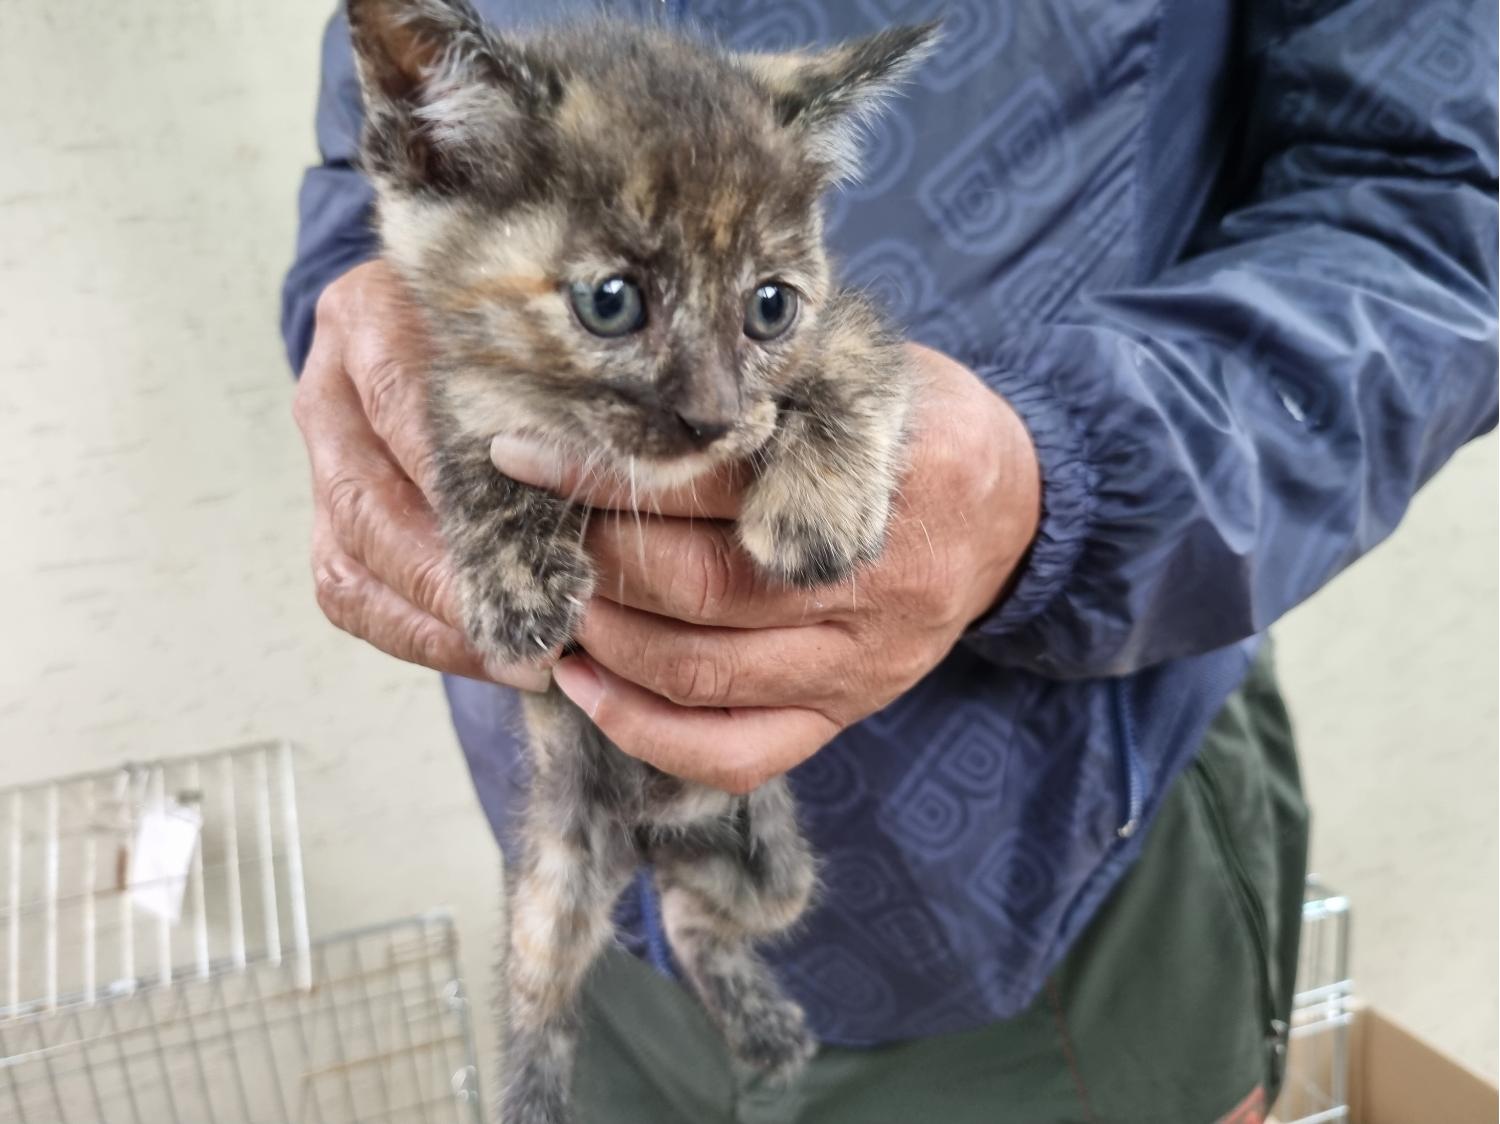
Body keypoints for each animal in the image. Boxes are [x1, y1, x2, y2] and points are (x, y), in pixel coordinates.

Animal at [345, 4, 936, 1116]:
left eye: (771, 306)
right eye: (611, 301)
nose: (711, 417)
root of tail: (652, 838)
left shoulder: (844, 324)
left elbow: (855, 355)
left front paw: (820, 503)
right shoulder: (454, 392)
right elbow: (472, 459)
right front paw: (515, 580)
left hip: (770, 854)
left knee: (705, 921)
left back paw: (759, 1018)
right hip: (555, 869)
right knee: (544, 987)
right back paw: (530, 1090)